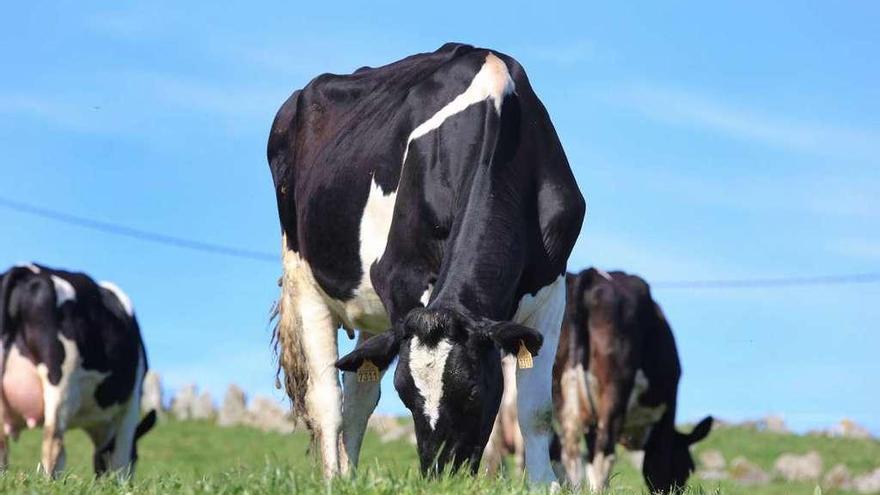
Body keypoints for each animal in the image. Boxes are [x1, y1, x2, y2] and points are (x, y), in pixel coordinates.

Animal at [0, 266, 156, 478]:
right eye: (136, 457)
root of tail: (26, 270)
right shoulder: (130, 407)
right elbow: (120, 460)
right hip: (61, 384)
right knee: (53, 444)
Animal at [268, 44, 584, 482]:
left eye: (473, 390)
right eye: (406, 396)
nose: (442, 476)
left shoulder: (552, 288)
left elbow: (535, 410)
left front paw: (543, 484)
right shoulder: (401, 278)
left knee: (359, 392)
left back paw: (349, 476)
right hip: (303, 277)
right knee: (326, 398)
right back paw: (333, 479)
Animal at [552, 270, 712, 494]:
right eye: (688, 468)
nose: (678, 490)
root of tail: (591, 274)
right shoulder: (667, 412)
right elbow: (658, 466)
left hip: (563, 390)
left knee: (570, 453)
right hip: (614, 390)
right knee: (603, 453)